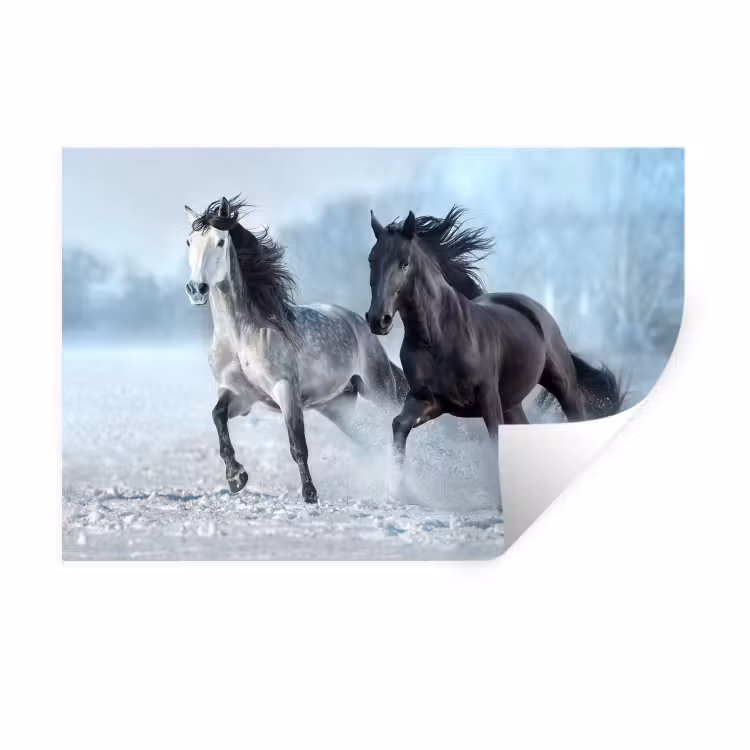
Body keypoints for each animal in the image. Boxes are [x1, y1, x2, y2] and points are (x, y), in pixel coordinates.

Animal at [184, 195, 408, 504]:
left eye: (220, 241)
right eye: (189, 241)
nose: (197, 289)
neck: (241, 337)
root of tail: (359, 323)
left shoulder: (286, 389)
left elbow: (297, 445)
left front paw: (310, 494)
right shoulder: (239, 394)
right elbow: (218, 418)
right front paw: (236, 477)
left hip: (379, 390)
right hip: (336, 406)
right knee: (370, 441)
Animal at [365, 206, 624, 511]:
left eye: (404, 264)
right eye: (371, 260)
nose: (378, 320)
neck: (438, 337)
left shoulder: (487, 398)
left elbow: (495, 440)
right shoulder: (429, 400)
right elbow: (399, 424)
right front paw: (394, 492)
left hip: (561, 385)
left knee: (576, 415)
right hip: (512, 403)